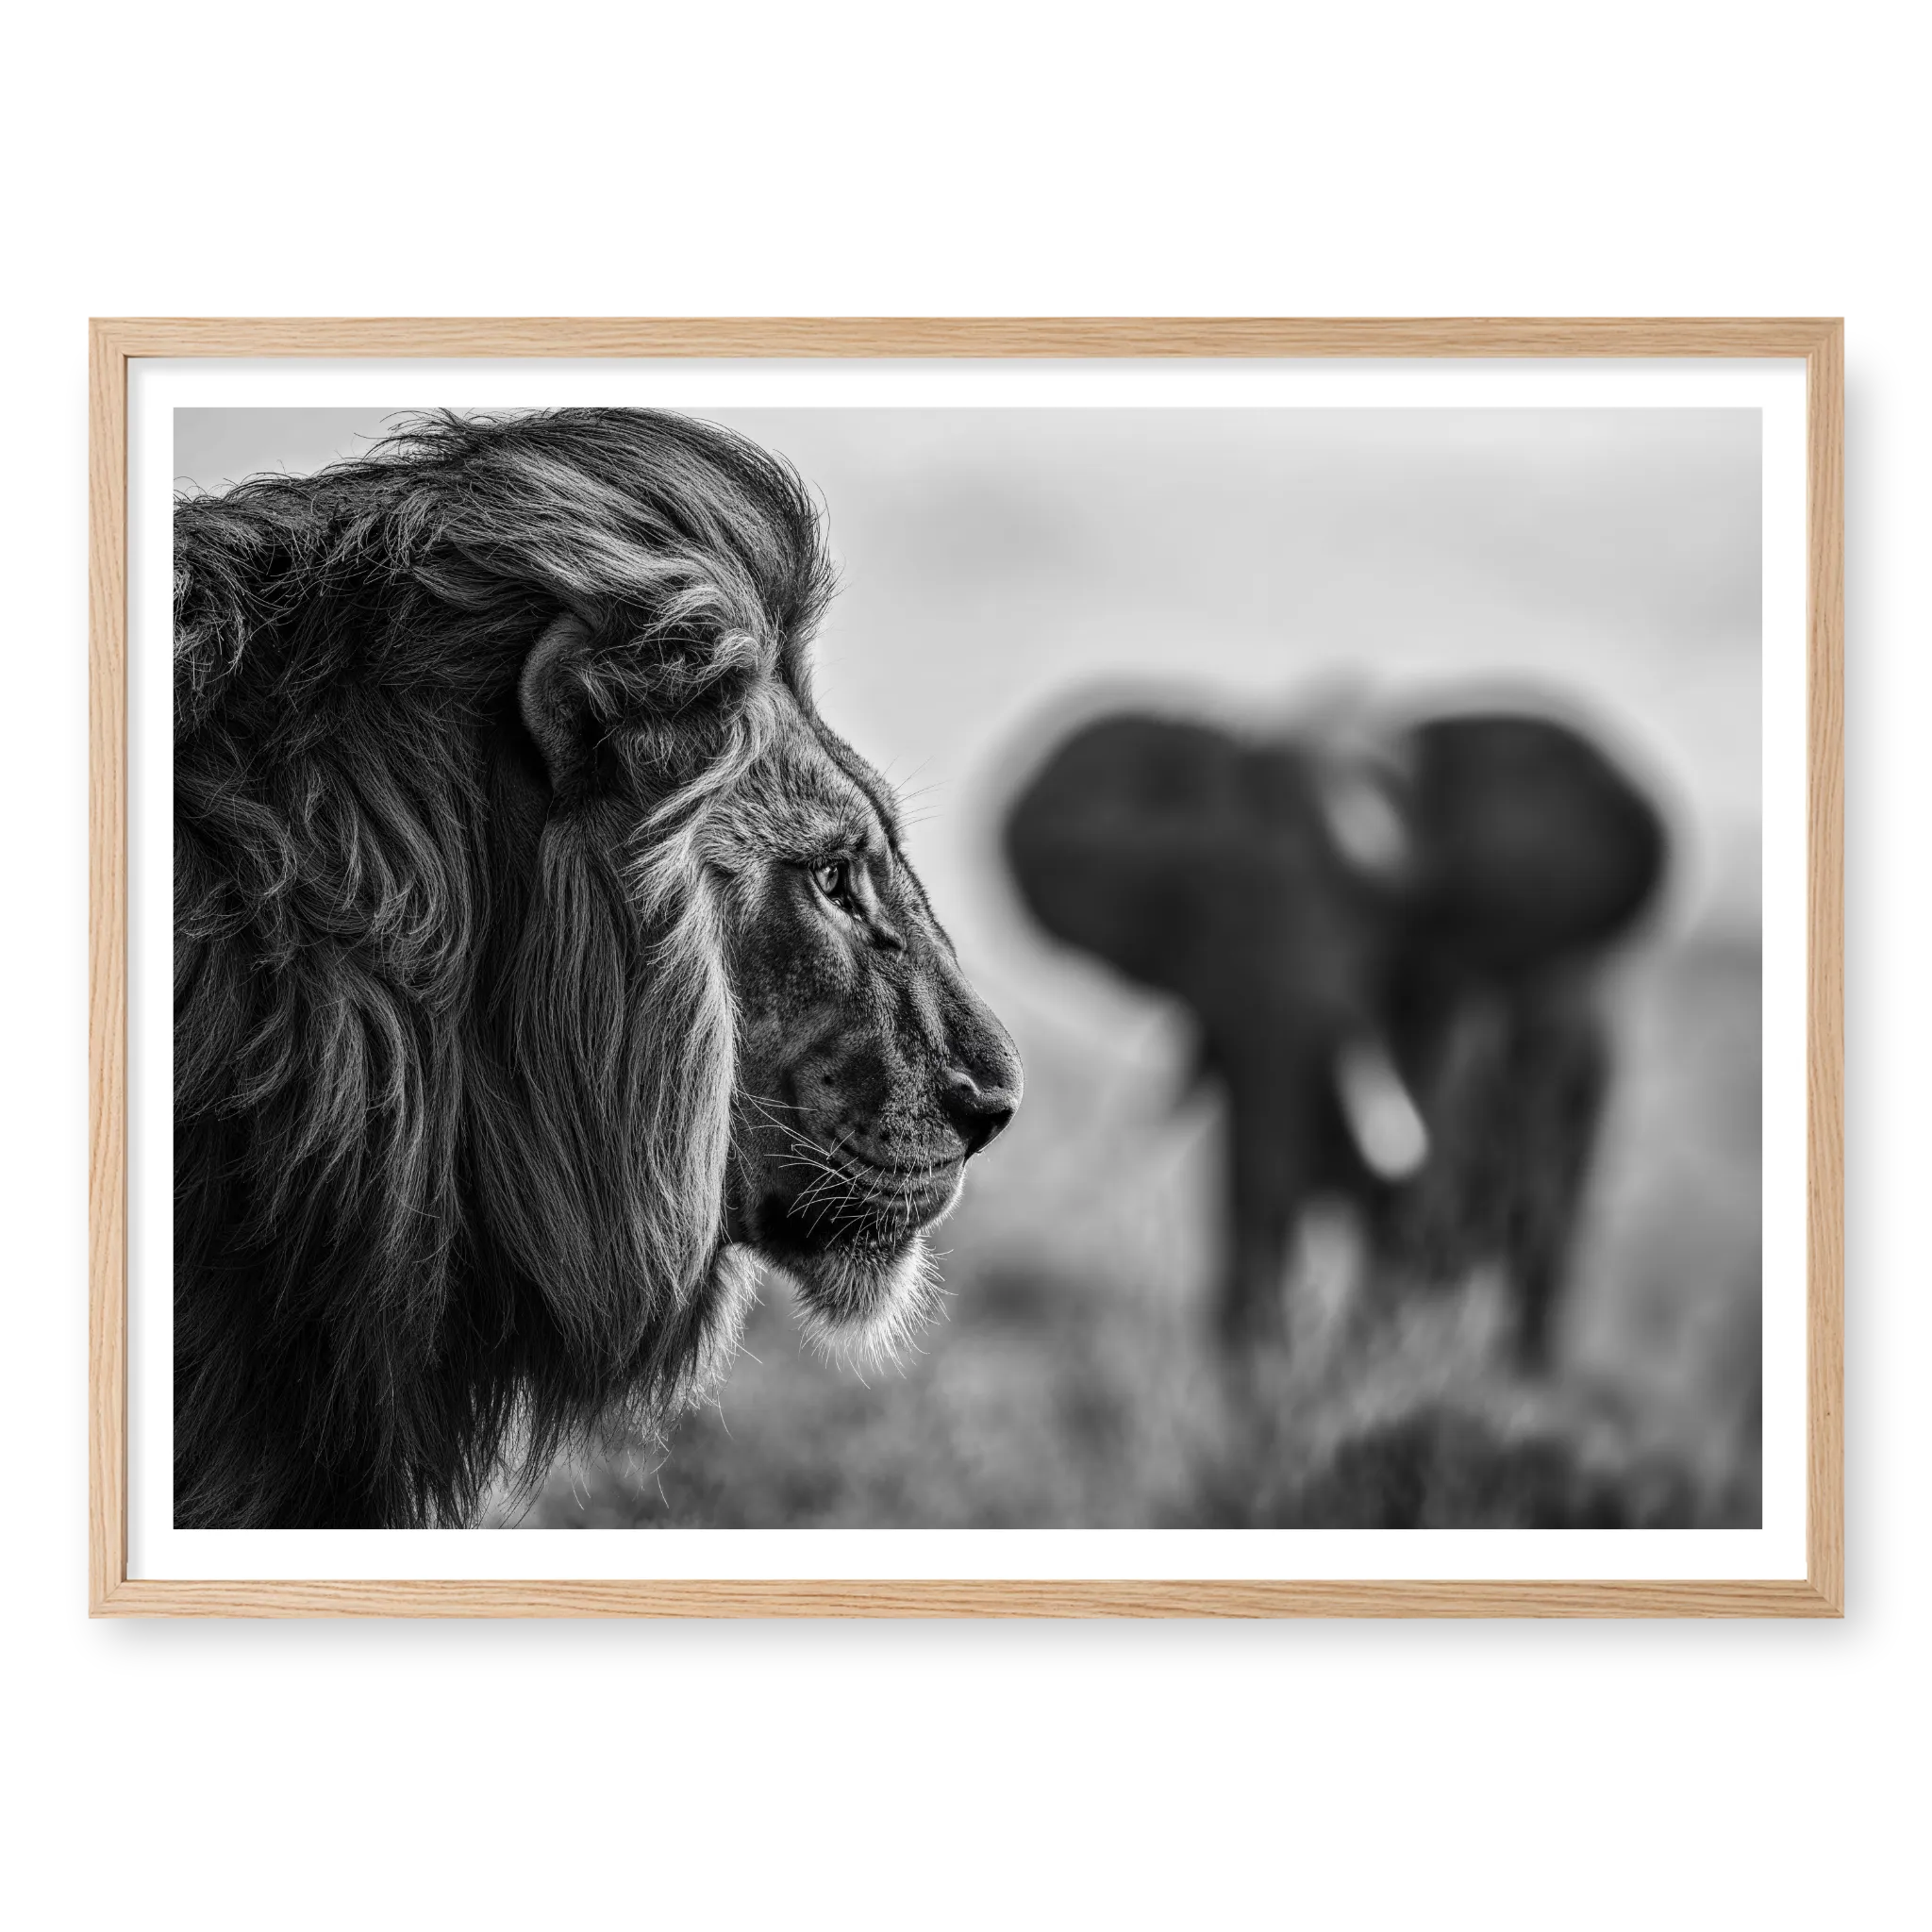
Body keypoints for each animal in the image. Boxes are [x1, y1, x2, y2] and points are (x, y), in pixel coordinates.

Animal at [1002, 696, 1669, 1369]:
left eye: (1384, 909)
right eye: (1197, 895)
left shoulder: (1443, 1027)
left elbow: (1407, 1216)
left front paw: (1354, 1370)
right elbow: (1249, 1184)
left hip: (1585, 1076)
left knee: (1539, 1240)